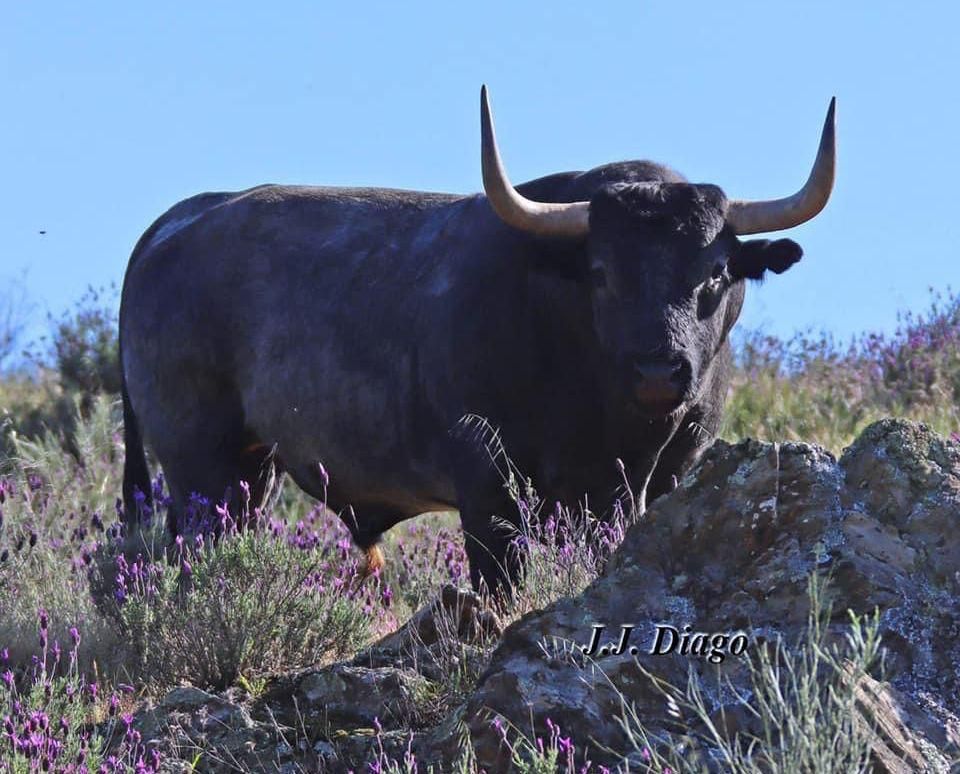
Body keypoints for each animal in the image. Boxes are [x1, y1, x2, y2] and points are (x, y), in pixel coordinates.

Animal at [120, 86, 836, 596]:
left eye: (714, 272)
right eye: (602, 271)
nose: (659, 371)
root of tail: (176, 222)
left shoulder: (662, 479)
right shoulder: (488, 487)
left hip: (251, 470)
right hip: (200, 465)